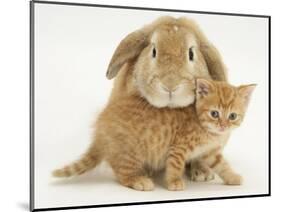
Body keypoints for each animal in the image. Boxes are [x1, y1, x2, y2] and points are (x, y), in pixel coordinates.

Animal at [52, 79, 254, 190]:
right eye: (214, 113)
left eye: (232, 116)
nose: (223, 125)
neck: (208, 131)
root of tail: (101, 131)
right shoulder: (179, 147)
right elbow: (175, 165)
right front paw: (174, 182)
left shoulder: (209, 152)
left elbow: (222, 165)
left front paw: (233, 177)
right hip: (131, 151)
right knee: (122, 174)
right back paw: (138, 181)